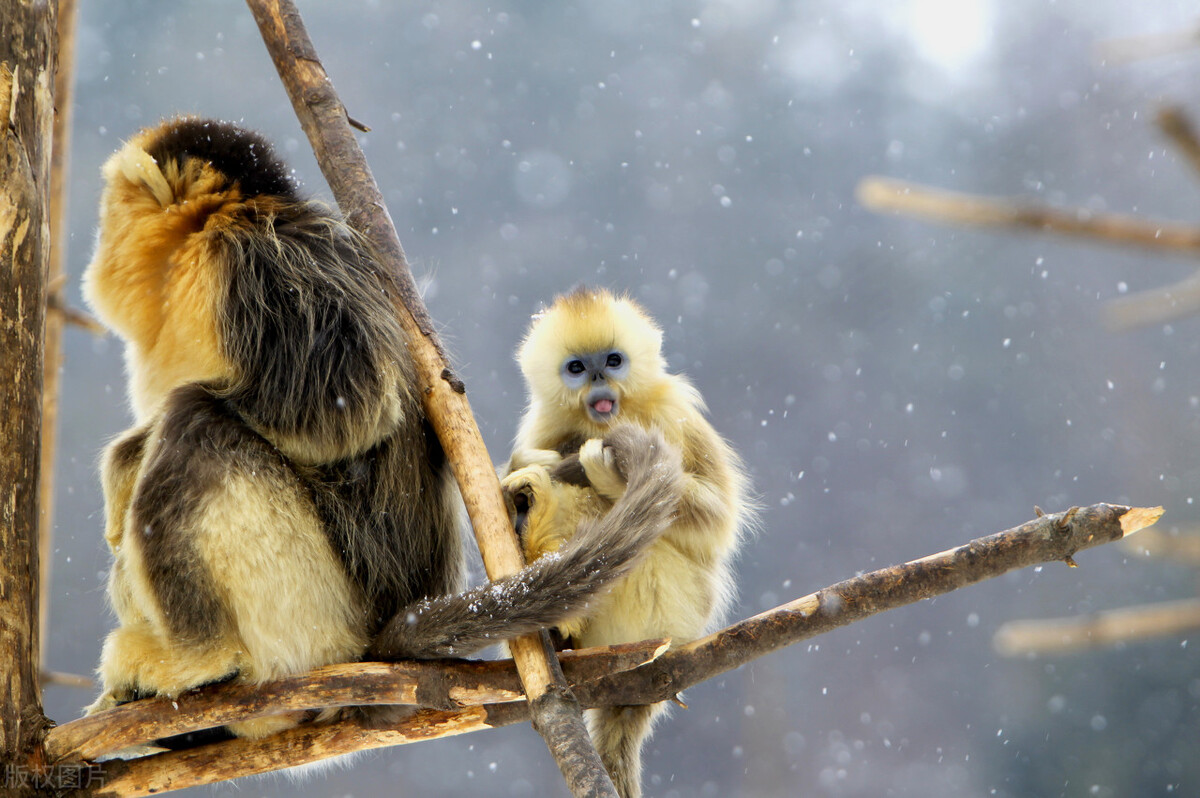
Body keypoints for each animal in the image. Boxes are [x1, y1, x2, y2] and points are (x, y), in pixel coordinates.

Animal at [84, 120, 681, 748]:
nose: (100, 239)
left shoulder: (264, 263)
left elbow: (350, 412)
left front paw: (125, 457)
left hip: (317, 618)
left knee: (196, 427)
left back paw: (197, 660)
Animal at [504, 286, 748, 796]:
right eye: (578, 368)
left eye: (613, 361)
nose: (599, 381)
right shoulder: (543, 427)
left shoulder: (673, 413)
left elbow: (717, 518)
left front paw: (607, 474)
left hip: (674, 610)